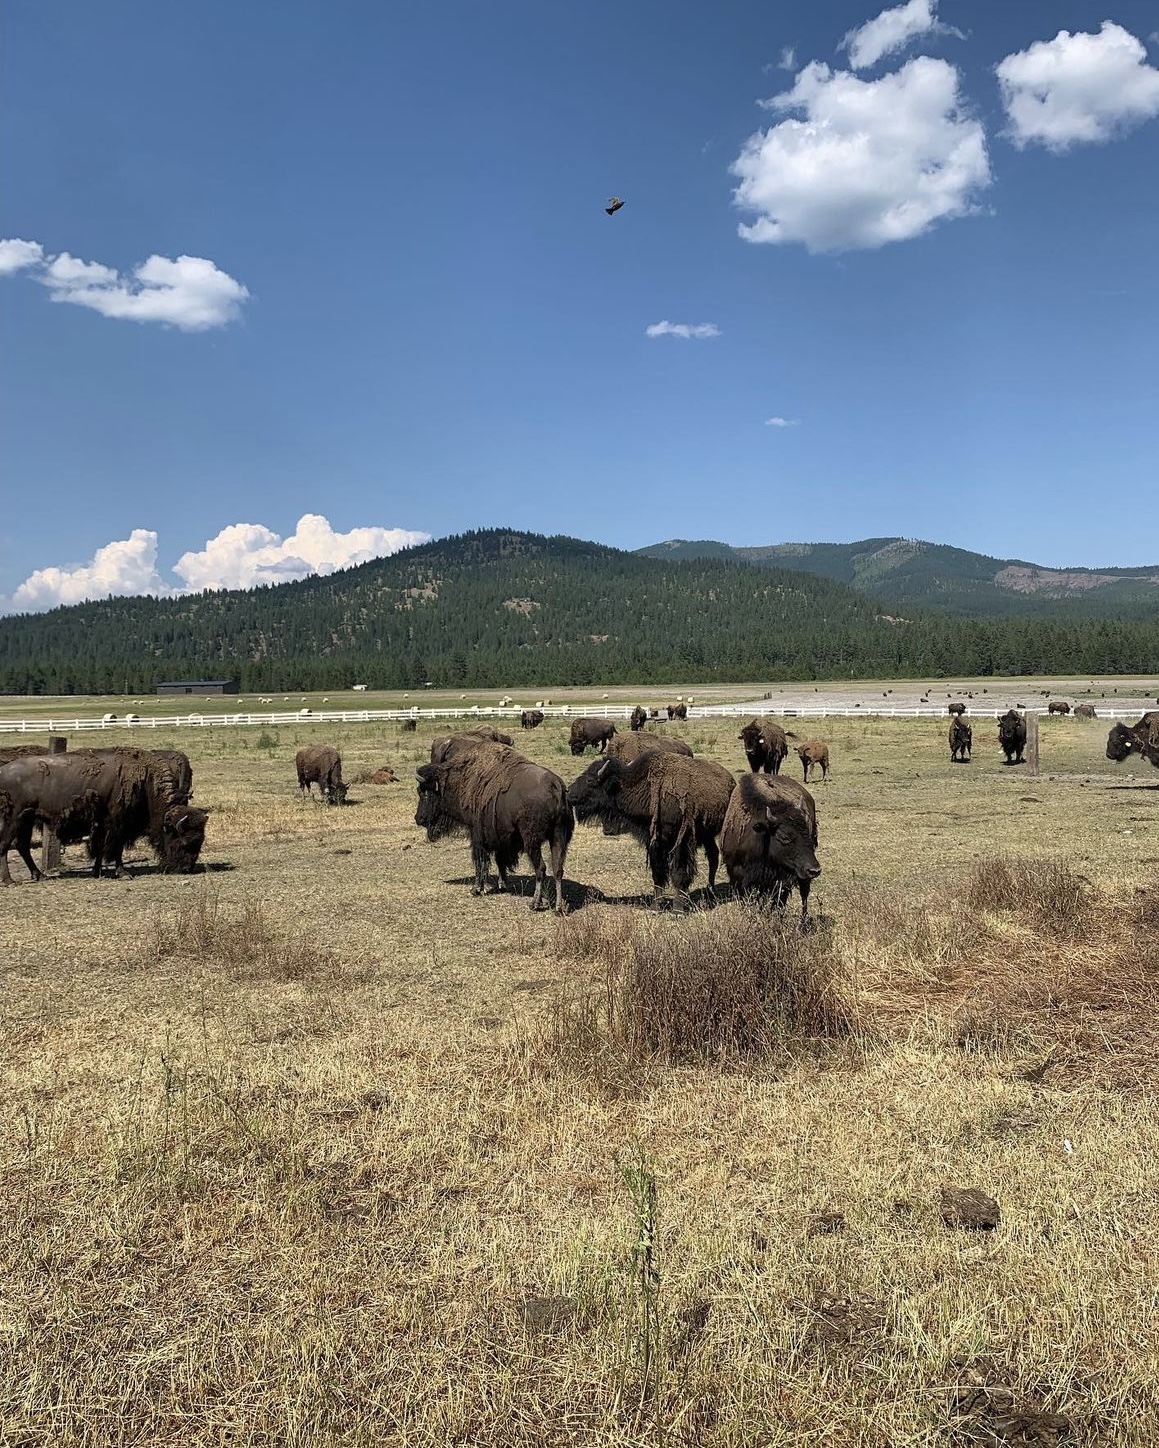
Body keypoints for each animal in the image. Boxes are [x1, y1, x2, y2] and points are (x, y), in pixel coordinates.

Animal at [415, 739, 573, 913]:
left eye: (424, 792)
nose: (418, 818)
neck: (457, 780)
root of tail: (555, 785)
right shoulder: (500, 837)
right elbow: (499, 861)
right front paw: (502, 885)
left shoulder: (477, 834)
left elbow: (480, 861)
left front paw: (476, 889)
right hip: (558, 838)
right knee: (558, 869)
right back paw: (559, 907)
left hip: (532, 842)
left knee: (541, 869)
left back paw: (534, 903)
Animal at [567, 751, 735, 909]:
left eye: (590, 780)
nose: (568, 792)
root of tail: (730, 780)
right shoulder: (655, 843)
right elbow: (658, 874)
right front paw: (655, 906)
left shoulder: (680, 842)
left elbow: (679, 874)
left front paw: (678, 910)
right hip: (707, 836)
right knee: (713, 856)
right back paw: (710, 892)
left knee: (713, 857)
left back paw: (710, 894)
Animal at [720, 773, 820, 920]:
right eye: (784, 837)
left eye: (807, 832)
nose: (815, 870)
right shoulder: (737, 876)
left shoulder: (781, 880)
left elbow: (778, 903)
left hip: (802, 877)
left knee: (804, 895)